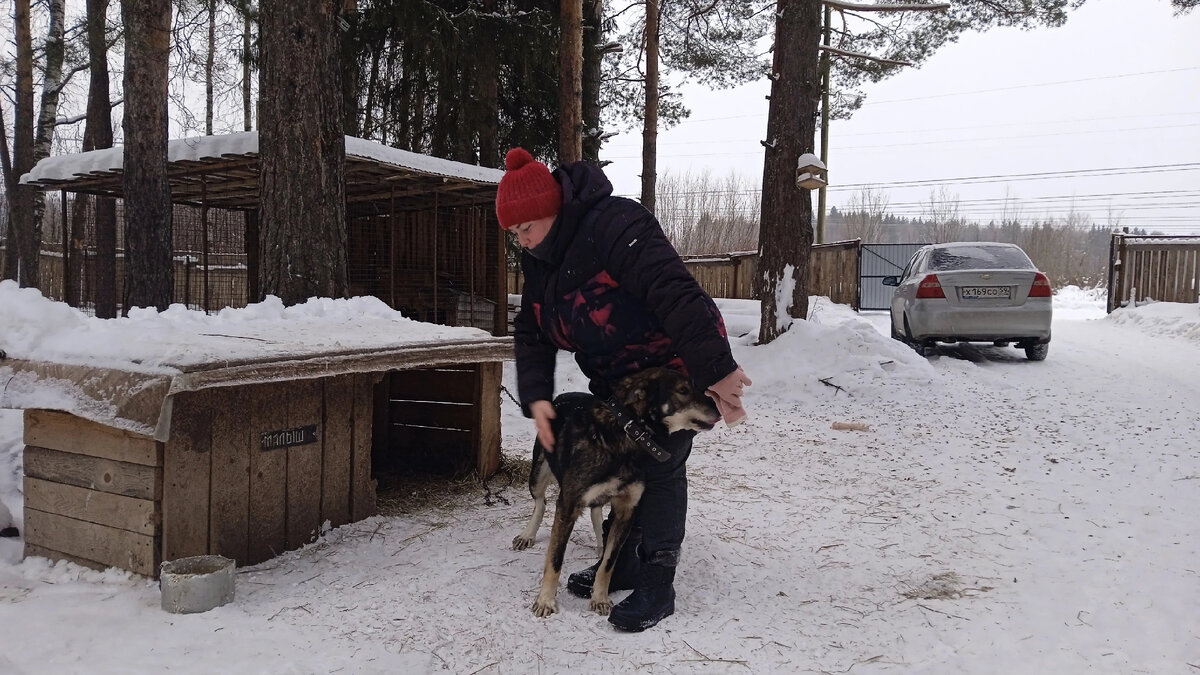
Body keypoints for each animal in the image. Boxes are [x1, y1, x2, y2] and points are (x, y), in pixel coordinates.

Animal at [520, 367, 715, 614]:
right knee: (540, 502)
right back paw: (527, 535)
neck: (627, 433)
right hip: (537, 475)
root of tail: (560, 397)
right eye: (682, 390)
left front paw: (600, 597)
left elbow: (609, 562)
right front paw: (545, 600)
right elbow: (555, 559)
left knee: (596, 512)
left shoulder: (626, 509)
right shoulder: (568, 506)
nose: (718, 409)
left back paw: (600, 543)